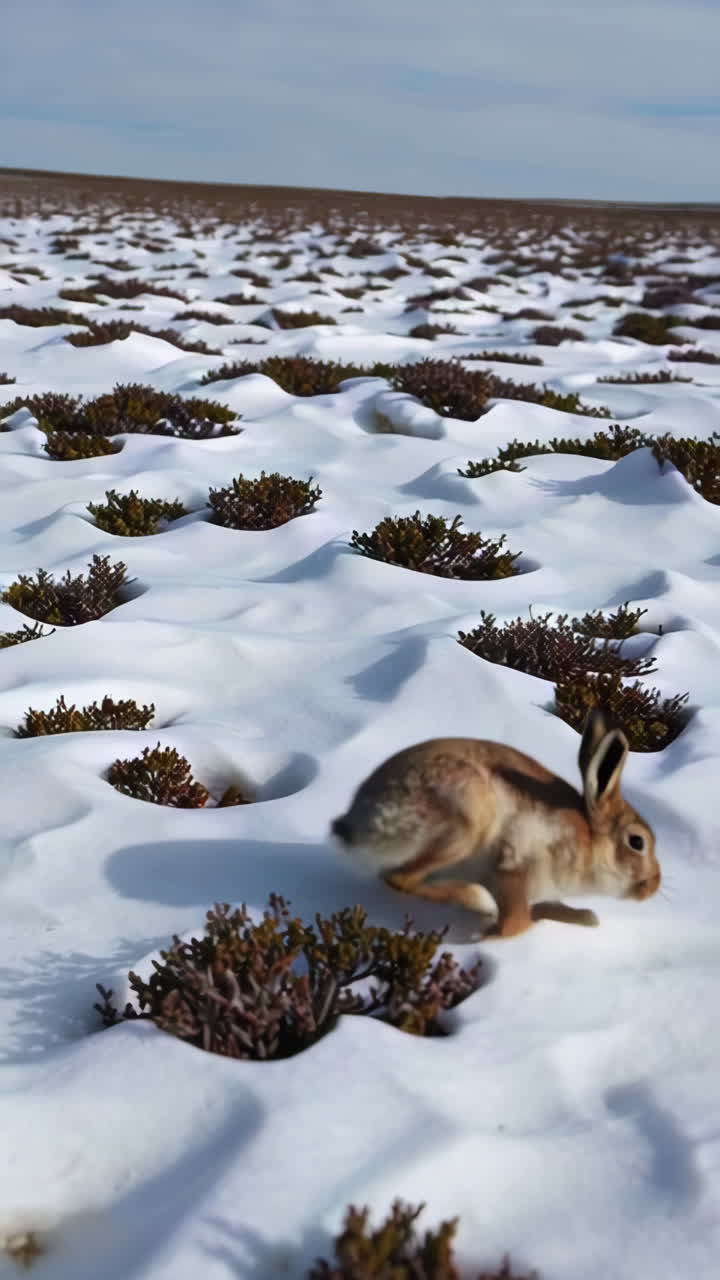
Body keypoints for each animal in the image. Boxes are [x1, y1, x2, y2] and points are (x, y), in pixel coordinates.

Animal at [330, 709, 660, 937]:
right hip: (464, 826)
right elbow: (515, 923)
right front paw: (492, 933)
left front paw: (582, 916)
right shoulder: (513, 866)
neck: (588, 842)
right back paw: (471, 898)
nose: (653, 887)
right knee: (400, 878)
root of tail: (355, 824)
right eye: (637, 842)